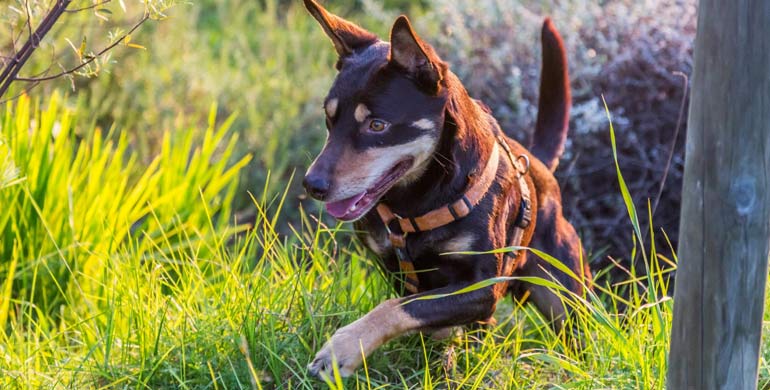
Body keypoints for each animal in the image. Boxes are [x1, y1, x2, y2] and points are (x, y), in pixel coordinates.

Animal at [298, 0, 588, 378]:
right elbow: (411, 304)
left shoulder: (482, 288)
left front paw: (343, 348)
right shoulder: (396, 268)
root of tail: (539, 166)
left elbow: (401, 307)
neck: (416, 203)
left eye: (377, 125)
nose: (312, 185)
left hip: (563, 296)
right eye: (329, 120)